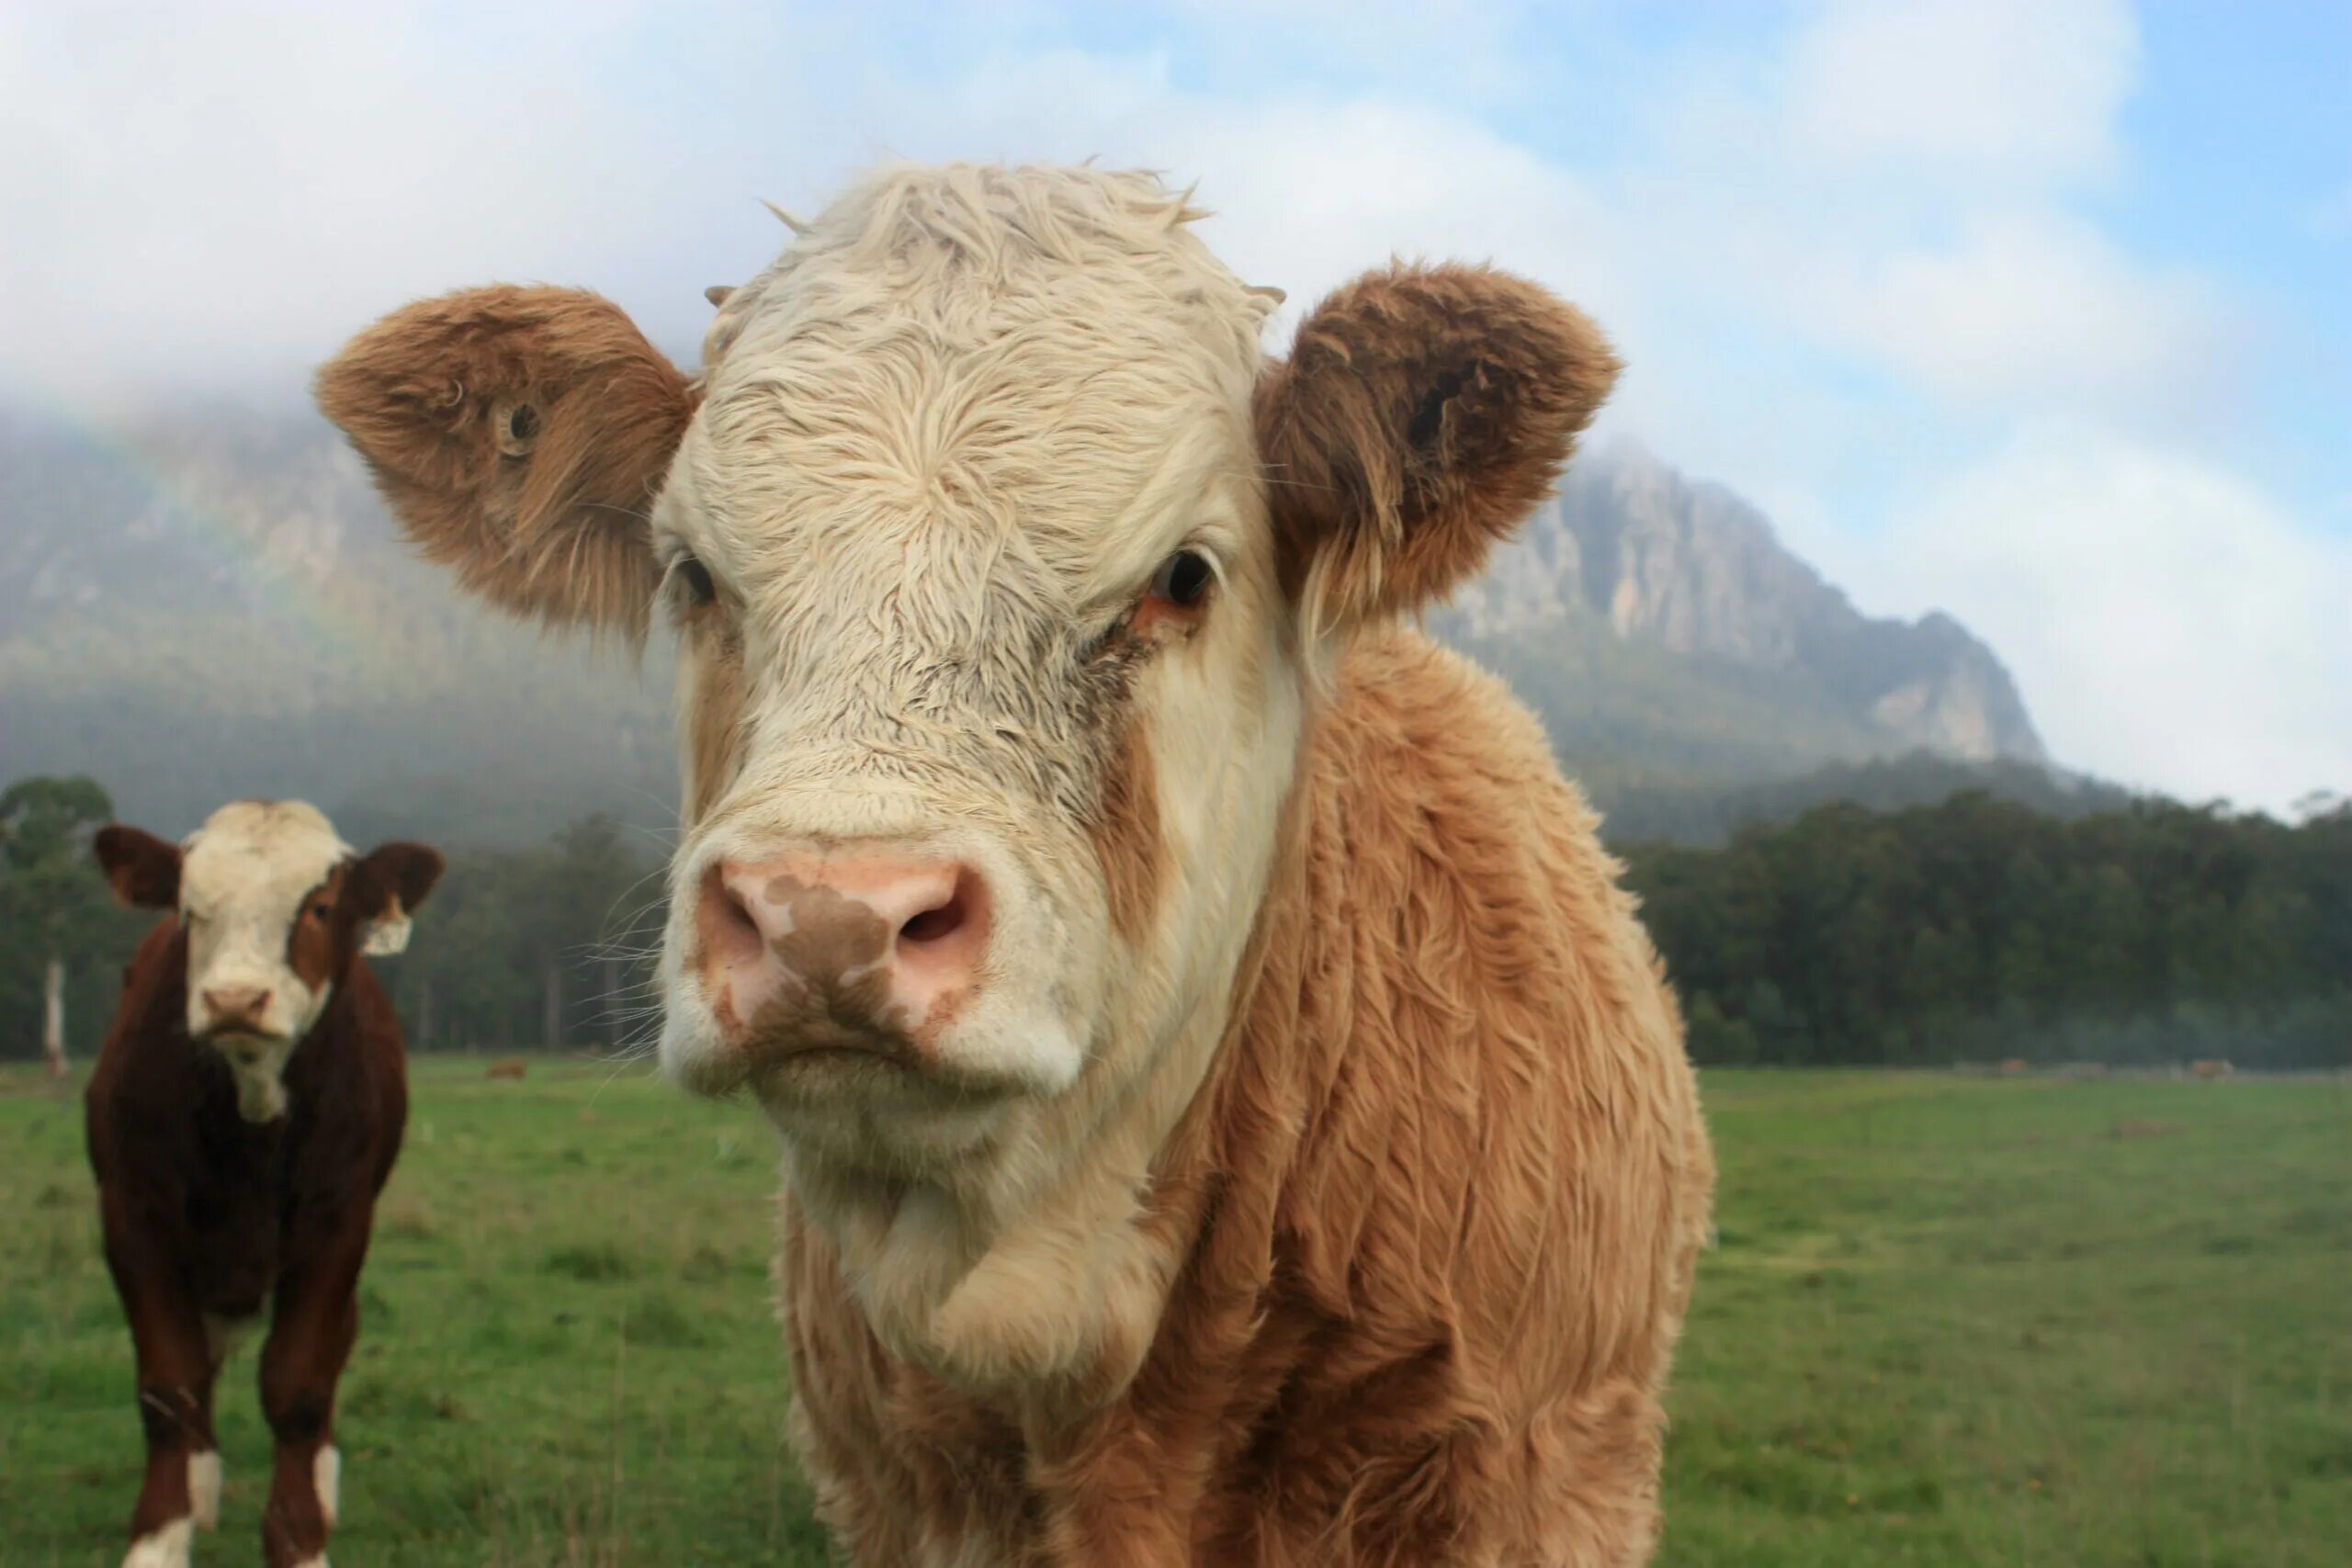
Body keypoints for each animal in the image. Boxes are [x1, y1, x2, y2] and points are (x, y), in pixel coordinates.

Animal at [83, 808, 442, 1568]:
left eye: (321, 907)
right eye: (190, 909)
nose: (235, 998)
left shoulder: (338, 1221)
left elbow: (299, 1381)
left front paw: (301, 1537)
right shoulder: (133, 1214)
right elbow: (170, 1384)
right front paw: (161, 1535)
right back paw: (201, 1489)